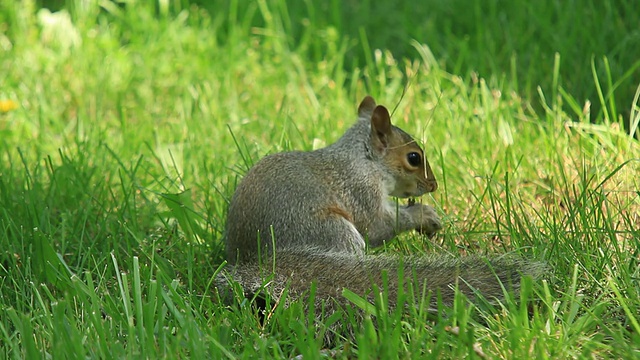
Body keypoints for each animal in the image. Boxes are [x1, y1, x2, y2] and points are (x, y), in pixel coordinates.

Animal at [216, 95, 544, 320]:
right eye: (413, 158)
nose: (433, 185)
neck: (364, 159)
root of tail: (257, 259)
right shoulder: (360, 188)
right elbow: (378, 227)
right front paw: (423, 215)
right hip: (334, 232)